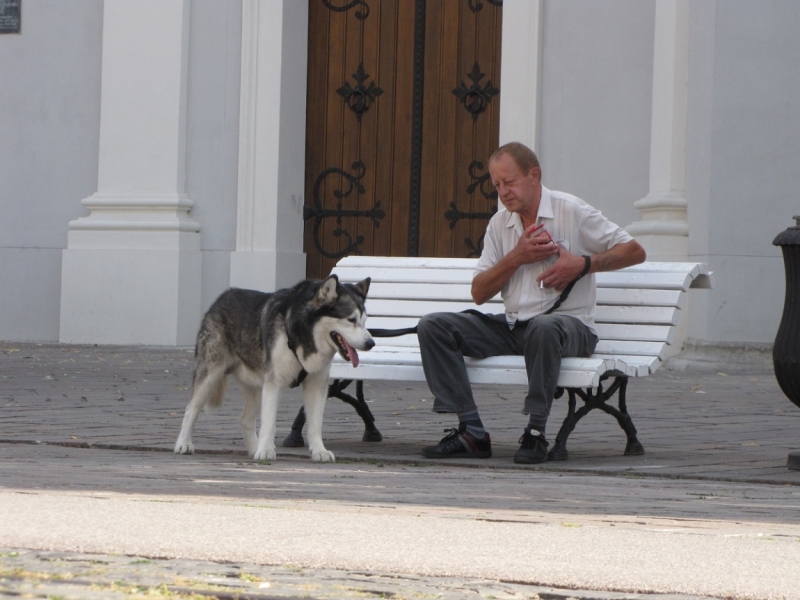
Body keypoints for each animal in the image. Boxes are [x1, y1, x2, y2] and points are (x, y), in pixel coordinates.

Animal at [173, 274, 374, 462]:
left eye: (365, 321)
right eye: (351, 320)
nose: (371, 343)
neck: (303, 333)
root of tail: (222, 297)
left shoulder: (317, 384)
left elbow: (316, 423)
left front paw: (319, 451)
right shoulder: (273, 383)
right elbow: (269, 422)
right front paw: (265, 451)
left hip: (256, 385)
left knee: (245, 420)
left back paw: (254, 449)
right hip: (210, 375)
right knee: (191, 409)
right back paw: (184, 444)